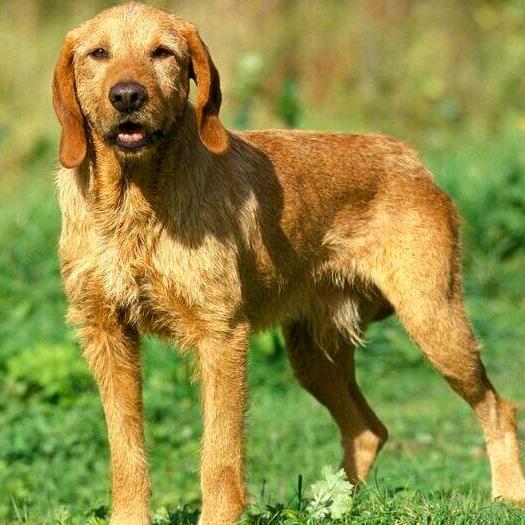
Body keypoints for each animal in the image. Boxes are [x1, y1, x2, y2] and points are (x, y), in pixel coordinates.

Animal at [52, 2, 524, 520]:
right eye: (98, 53)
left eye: (163, 52)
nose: (127, 96)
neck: (132, 204)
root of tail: (410, 158)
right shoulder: (105, 333)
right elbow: (125, 453)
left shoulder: (221, 336)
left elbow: (219, 455)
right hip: (313, 355)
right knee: (366, 428)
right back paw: (335, 505)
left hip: (435, 321)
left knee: (499, 408)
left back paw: (508, 495)